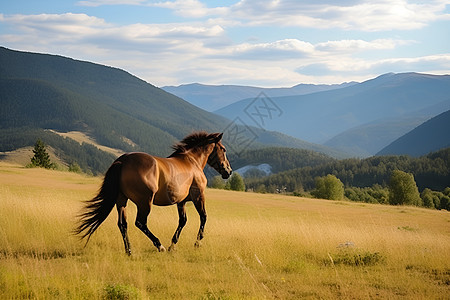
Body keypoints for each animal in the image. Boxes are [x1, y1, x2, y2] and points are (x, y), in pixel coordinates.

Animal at [74, 132, 232, 254]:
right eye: (223, 149)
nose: (228, 171)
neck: (192, 162)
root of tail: (122, 161)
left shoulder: (180, 201)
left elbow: (183, 221)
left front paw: (173, 245)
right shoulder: (198, 196)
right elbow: (203, 217)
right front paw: (197, 243)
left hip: (121, 201)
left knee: (122, 224)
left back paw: (129, 251)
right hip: (145, 202)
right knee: (140, 222)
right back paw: (159, 245)